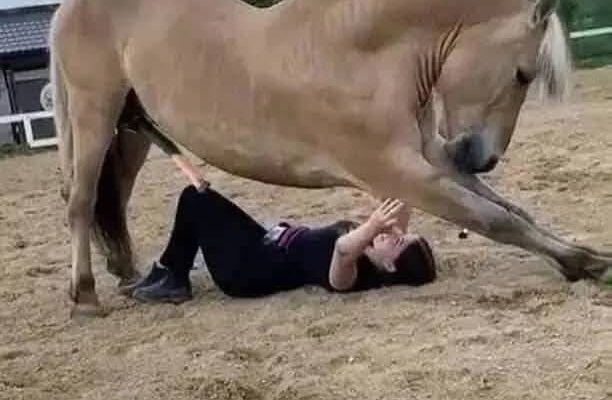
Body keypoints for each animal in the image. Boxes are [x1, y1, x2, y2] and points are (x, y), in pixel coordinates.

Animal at [50, 0, 612, 317]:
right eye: (523, 73)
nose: (483, 157)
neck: (362, 53)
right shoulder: (398, 173)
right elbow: (495, 219)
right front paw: (585, 264)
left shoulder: (431, 158)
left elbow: (514, 211)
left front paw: (583, 255)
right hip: (93, 114)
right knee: (80, 201)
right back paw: (86, 298)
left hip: (132, 130)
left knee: (111, 202)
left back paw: (130, 276)